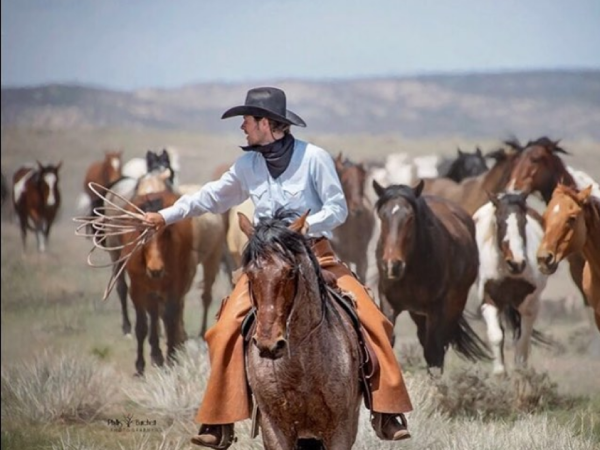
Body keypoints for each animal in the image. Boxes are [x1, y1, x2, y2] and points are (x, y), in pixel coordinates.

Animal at [239, 211, 360, 450]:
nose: (269, 344)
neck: (302, 366)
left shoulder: (341, 430)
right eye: (250, 274)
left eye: (290, 272)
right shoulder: (274, 428)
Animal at [372, 178, 490, 372]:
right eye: (382, 216)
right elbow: (387, 338)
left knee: (439, 343)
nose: (392, 265)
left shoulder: (436, 308)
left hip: (454, 305)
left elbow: (434, 351)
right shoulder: (388, 302)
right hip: (418, 313)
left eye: (410, 217)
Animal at [474, 192, 548, 374]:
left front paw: (520, 372)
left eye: (524, 222)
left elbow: (522, 340)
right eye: (500, 222)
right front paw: (499, 372)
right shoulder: (489, 300)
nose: (517, 263)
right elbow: (496, 335)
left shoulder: (529, 305)